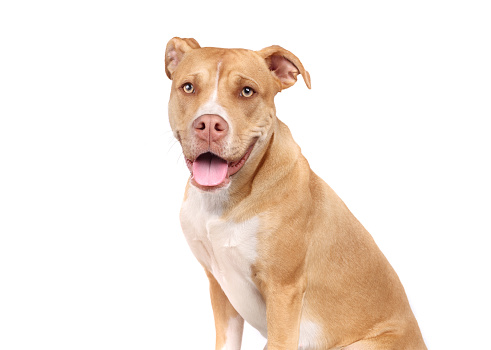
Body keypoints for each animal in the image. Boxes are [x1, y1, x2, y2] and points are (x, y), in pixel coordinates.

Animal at [165, 38, 426, 350]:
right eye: (188, 87)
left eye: (247, 91)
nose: (208, 126)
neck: (224, 202)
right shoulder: (220, 287)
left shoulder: (283, 292)